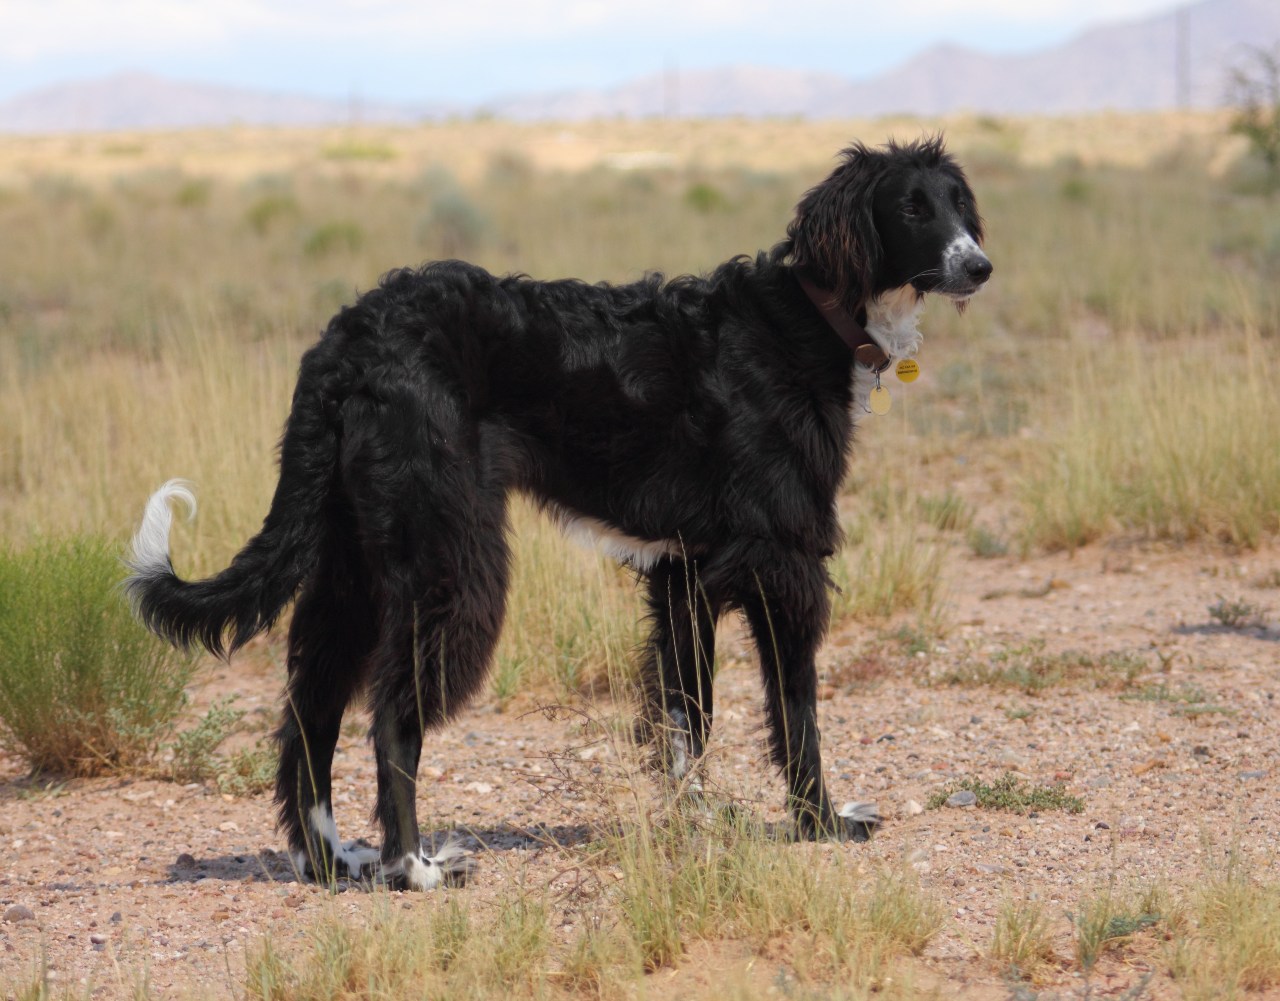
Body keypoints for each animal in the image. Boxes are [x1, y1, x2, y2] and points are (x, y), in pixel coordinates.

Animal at [127, 135, 988, 896]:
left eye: (958, 202)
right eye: (910, 208)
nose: (980, 264)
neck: (801, 316)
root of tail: (348, 339)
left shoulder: (684, 572)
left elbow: (691, 717)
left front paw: (697, 821)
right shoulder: (783, 561)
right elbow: (796, 709)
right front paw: (819, 821)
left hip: (353, 565)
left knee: (311, 712)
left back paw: (332, 860)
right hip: (450, 559)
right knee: (392, 715)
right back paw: (414, 867)